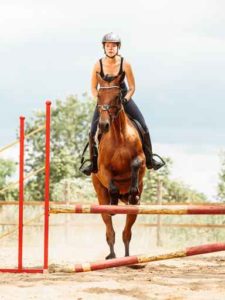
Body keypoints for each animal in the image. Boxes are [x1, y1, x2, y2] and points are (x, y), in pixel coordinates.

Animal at [91, 72, 146, 258]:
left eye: (117, 96)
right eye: (99, 96)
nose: (103, 125)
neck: (119, 135)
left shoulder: (142, 160)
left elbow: (136, 163)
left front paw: (132, 191)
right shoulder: (102, 169)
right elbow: (112, 184)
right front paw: (114, 202)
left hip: (134, 209)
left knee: (127, 232)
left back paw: (128, 257)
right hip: (100, 196)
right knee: (110, 228)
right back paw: (112, 255)